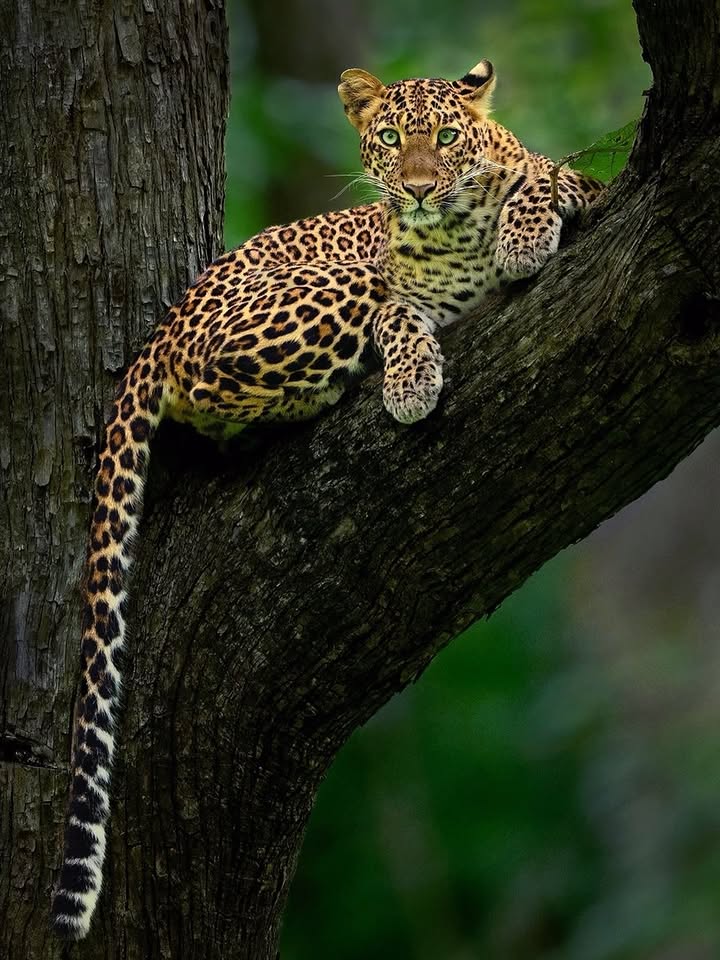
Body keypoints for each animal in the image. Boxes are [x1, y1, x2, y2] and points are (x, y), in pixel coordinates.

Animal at [50, 58, 603, 940]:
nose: (416, 189)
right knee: (216, 386)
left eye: (446, 135)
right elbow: (401, 319)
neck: (449, 234)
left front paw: (520, 236)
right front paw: (410, 383)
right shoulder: (396, 287)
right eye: (390, 137)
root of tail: (159, 330)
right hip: (320, 289)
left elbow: (544, 180)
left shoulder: (579, 184)